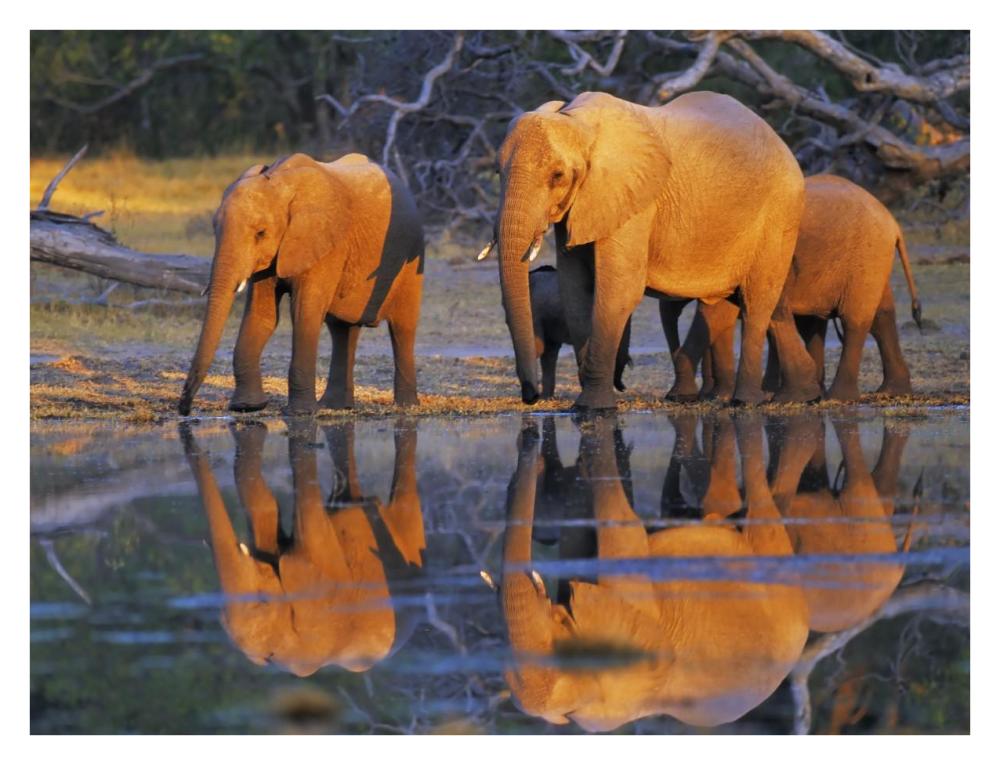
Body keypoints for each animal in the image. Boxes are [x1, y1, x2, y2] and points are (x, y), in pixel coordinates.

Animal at [178, 151, 424, 416]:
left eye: (261, 233)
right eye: (215, 229)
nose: (184, 409)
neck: (279, 181)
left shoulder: (324, 244)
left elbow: (304, 313)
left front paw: (300, 413)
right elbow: (261, 315)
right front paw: (247, 407)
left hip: (411, 256)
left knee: (402, 328)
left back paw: (406, 406)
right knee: (342, 329)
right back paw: (335, 406)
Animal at [666, 174, 923, 402]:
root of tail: (893, 222)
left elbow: (721, 313)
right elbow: (721, 315)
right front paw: (714, 396)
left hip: (867, 258)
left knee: (854, 322)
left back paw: (838, 397)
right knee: (880, 317)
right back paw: (889, 391)